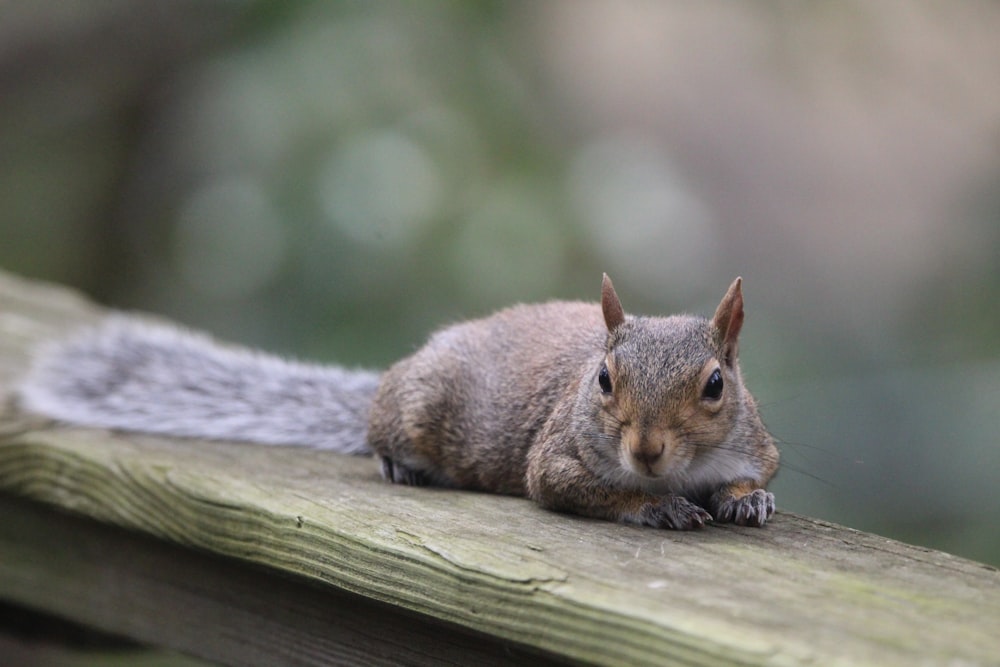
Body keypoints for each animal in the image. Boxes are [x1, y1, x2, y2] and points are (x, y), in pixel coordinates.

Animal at [17, 274, 780, 528]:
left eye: (716, 384)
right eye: (602, 380)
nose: (646, 451)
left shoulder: (756, 444)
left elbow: (753, 473)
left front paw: (747, 499)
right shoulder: (554, 459)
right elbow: (578, 488)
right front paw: (656, 505)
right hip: (414, 408)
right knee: (382, 434)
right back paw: (396, 463)